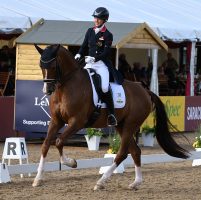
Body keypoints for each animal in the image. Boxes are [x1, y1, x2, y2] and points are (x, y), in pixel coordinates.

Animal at [32, 44, 189, 190]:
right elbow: (46, 144)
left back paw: (101, 182)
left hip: (130, 125)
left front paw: (71, 162)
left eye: (53, 65)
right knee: (135, 151)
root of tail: (145, 91)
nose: (47, 90)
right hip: (121, 125)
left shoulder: (77, 122)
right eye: (40, 65)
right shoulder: (56, 121)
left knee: (123, 153)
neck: (66, 87)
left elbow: (59, 141)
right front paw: (38, 179)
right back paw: (135, 183)